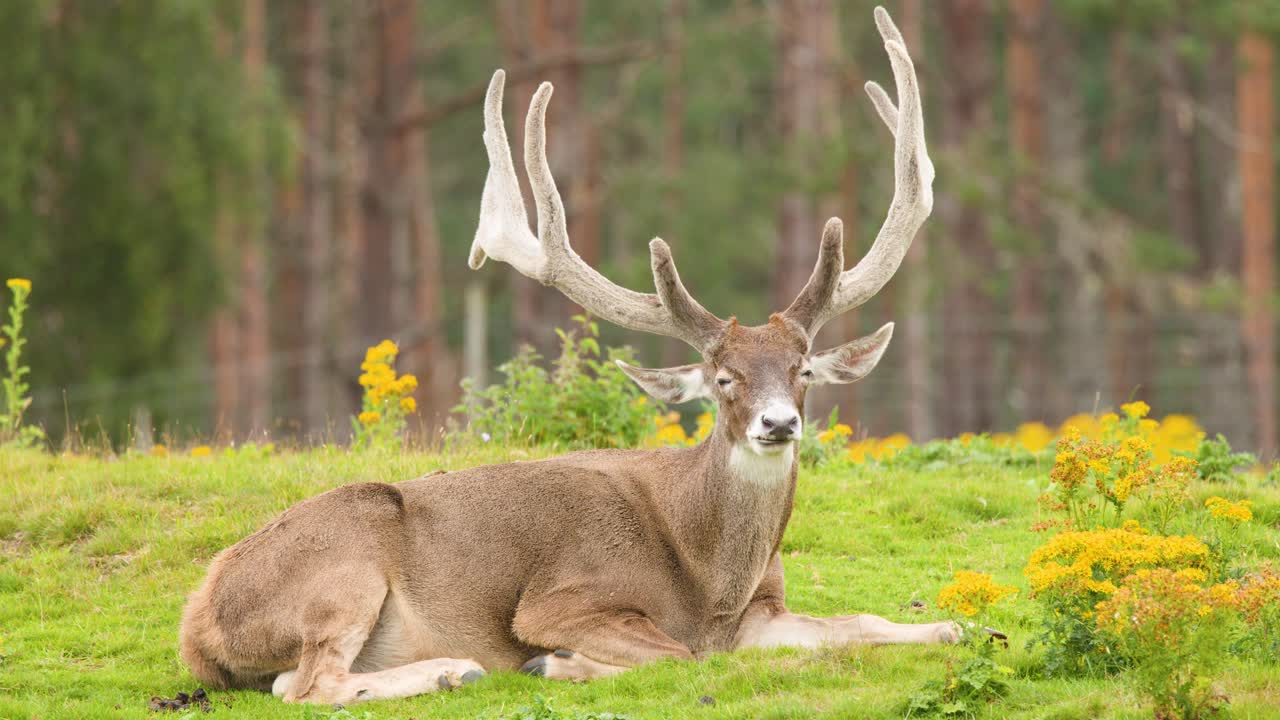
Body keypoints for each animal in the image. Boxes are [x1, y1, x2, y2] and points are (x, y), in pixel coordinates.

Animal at [179, 7, 951, 705]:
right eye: (723, 378)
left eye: (803, 370)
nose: (779, 424)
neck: (710, 585)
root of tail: (197, 623)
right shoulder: (559, 598)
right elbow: (679, 656)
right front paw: (556, 664)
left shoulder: (762, 612)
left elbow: (862, 621)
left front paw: (948, 626)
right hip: (342, 567)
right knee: (305, 684)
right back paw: (455, 669)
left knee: (291, 681)